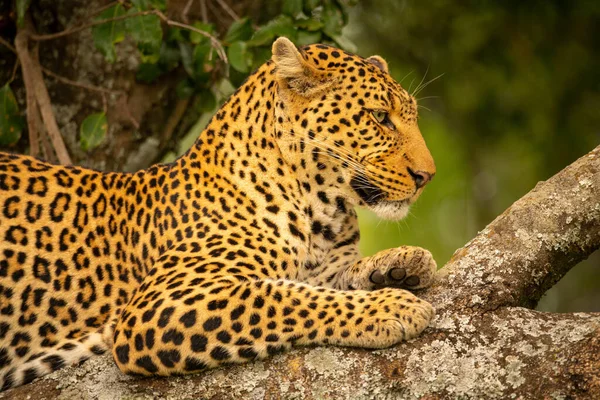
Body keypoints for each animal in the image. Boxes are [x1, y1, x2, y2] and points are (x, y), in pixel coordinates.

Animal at [1, 38, 436, 390]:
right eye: (379, 117)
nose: (427, 176)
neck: (322, 211)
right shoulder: (161, 303)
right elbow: (284, 297)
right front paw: (390, 307)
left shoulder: (322, 266)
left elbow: (329, 281)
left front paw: (400, 264)